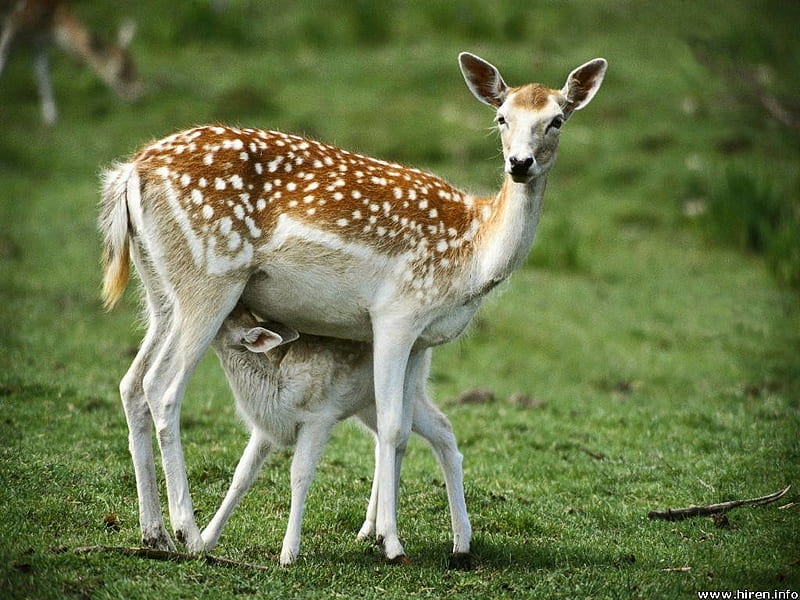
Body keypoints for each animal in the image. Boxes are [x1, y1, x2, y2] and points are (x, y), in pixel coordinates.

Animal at [0, 0, 141, 123]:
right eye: (121, 70)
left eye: (134, 64)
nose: (139, 93)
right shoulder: (14, 23)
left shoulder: (35, 37)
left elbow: (42, 71)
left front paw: (51, 119)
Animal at [206, 308, 472, 564]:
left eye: (228, 314)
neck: (276, 389)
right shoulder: (266, 430)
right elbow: (242, 475)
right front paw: (206, 539)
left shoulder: (318, 418)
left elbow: (300, 475)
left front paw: (288, 553)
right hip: (368, 405)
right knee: (389, 440)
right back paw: (369, 530)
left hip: (410, 389)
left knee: (441, 428)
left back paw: (460, 542)